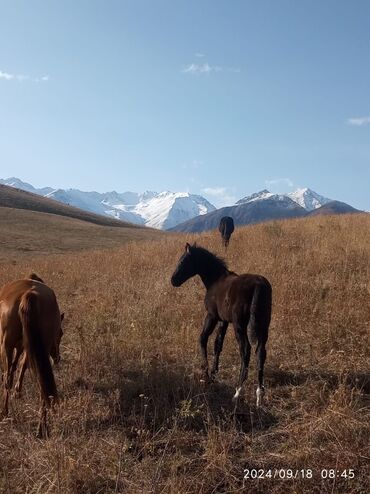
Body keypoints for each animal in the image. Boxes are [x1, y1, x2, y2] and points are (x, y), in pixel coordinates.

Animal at [0, 276, 63, 438]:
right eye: (61, 333)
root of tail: (29, 294)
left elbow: (14, 369)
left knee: (7, 379)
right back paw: (41, 429)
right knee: (43, 389)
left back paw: (4, 412)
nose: (57, 358)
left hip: (7, 346)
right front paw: (18, 391)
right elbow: (21, 365)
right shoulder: (26, 347)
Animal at [171, 243, 272, 406]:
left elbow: (203, 338)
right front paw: (213, 373)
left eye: (183, 261)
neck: (215, 280)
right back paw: (259, 395)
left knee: (246, 351)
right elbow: (218, 344)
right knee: (260, 352)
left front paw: (206, 375)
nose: (173, 280)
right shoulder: (224, 320)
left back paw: (237, 392)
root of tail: (258, 285)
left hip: (239, 326)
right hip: (263, 325)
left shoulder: (212, 316)